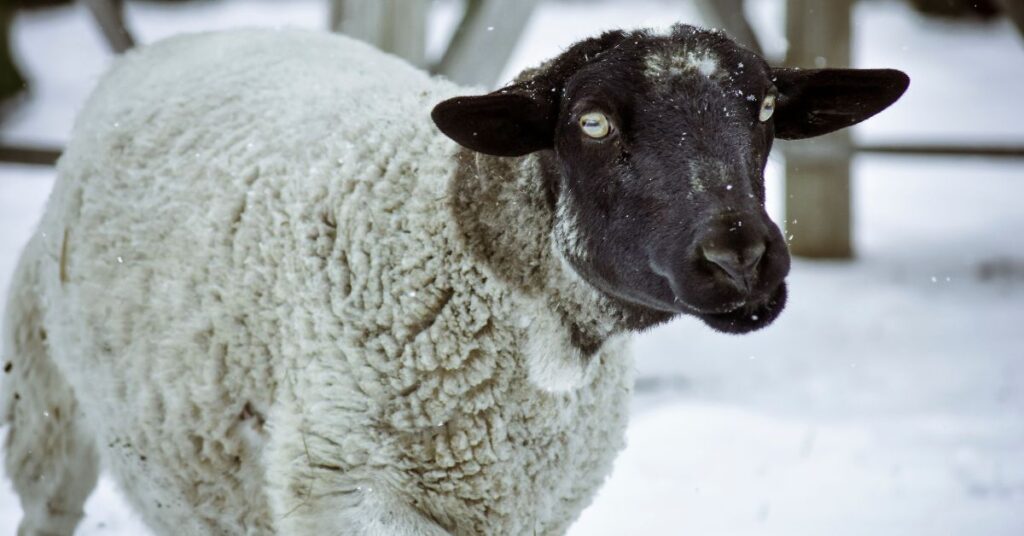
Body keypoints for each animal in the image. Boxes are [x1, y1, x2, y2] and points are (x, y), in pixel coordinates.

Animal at [1, 25, 907, 535]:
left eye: (764, 113)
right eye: (591, 122)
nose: (741, 257)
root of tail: (162, 46)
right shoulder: (352, 494)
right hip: (44, 406)